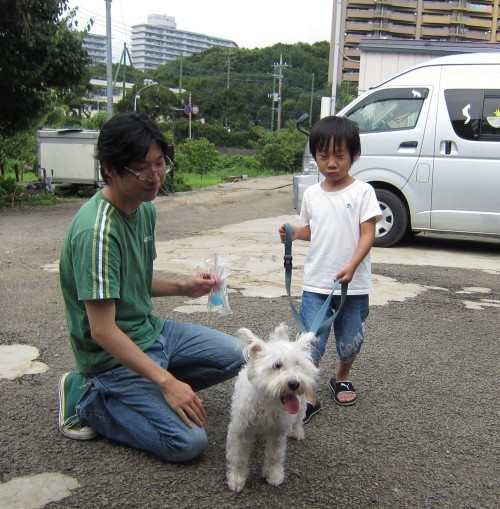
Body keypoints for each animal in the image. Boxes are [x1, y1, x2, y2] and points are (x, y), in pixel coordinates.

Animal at [226, 322, 318, 492]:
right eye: (277, 365)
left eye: (298, 364)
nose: (294, 383)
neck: (268, 402)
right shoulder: (241, 430)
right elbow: (238, 457)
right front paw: (236, 479)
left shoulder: (278, 432)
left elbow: (275, 455)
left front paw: (273, 475)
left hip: (301, 403)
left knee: (299, 419)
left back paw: (297, 432)